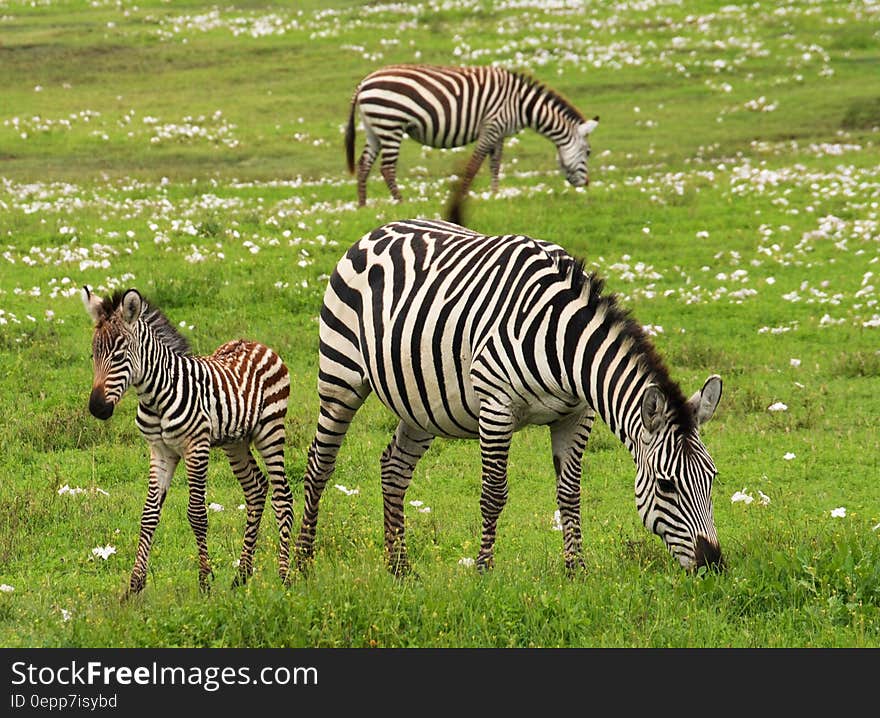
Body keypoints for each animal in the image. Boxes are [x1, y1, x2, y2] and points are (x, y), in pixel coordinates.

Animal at [81, 286, 292, 596]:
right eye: (93, 354)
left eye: (119, 355)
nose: (97, 409)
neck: (155, 395)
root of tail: (257, 343)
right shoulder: (160, 451)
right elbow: (149, 515)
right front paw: (134, 585)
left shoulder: (196, 447)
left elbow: (197, 514)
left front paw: (205, 581)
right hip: (235, 442)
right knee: (255, 489)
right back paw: (241, 575)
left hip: (270, 430)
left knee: (282, 495)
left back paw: (285, 576)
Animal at [296, 219, 720, 580]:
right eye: (666, 486)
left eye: (712, 478)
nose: (713, 564)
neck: (563, 342)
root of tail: (377, 229)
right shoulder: (497, 406)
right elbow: (493, 494)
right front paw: (484, 569)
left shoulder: (576, 415)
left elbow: (570, 494)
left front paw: (576, 571)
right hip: (340, 375)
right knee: (320, 463)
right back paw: (300, 563)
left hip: (421, 403)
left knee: (394, 468)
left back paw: (399, 567)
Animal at [344, 62, 600, 210]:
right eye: (588, 152)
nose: (586, 185)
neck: (521, 105)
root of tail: (363, 83)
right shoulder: (492, 126)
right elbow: (475, 164)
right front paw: (465, 195)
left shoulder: (499, 133)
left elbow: (495, 164)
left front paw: (495, 194)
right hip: (391, 123)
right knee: (386, 168)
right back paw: (400, 202)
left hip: (374, 127)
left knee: (364, 164)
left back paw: (363, 205)